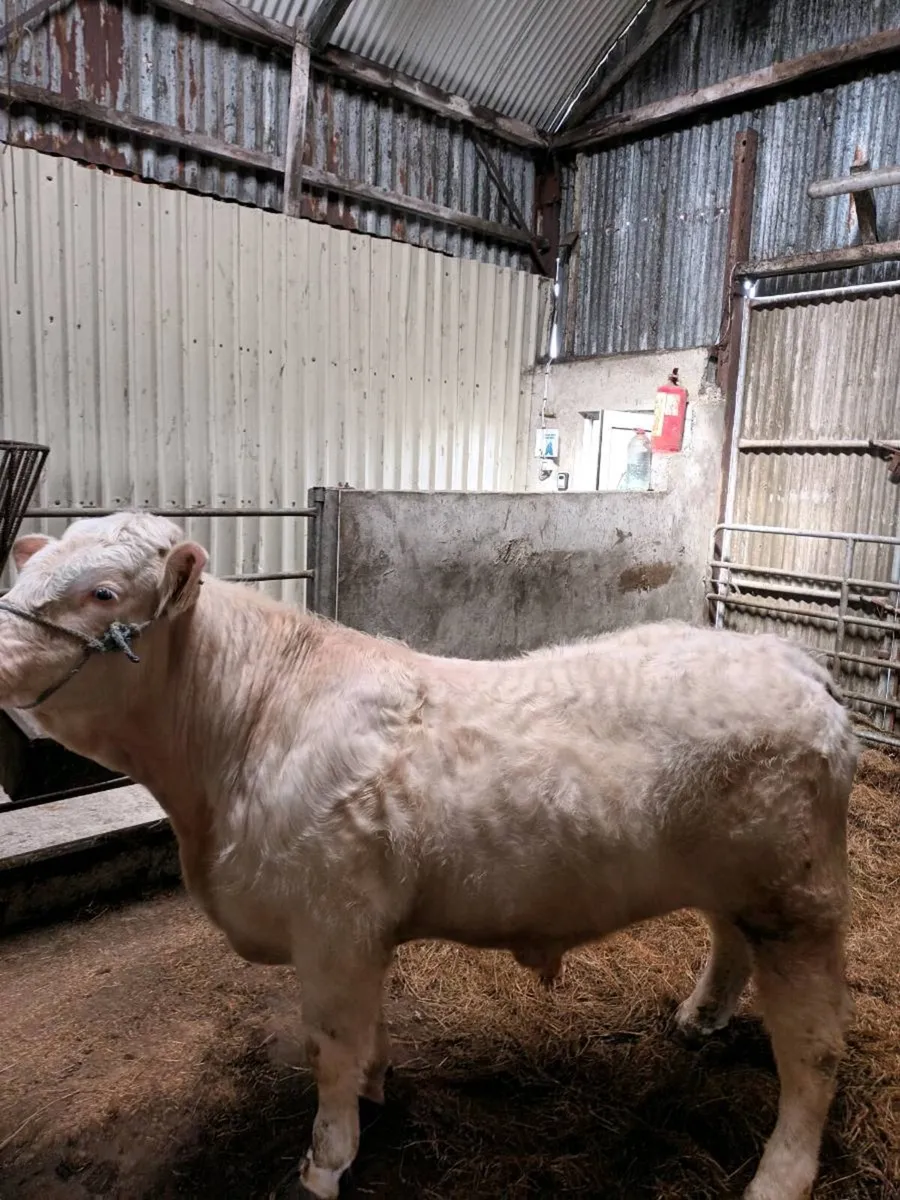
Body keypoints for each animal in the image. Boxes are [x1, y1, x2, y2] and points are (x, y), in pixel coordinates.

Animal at [0, 511, 856, 1200]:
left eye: (104, 593)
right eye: (28, 572)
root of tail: (791, 659)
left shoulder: (331, 926)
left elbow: (332, 1046)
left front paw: (326, 1161)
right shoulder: (360, 933)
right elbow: (366, 1033)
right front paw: (378, 1087)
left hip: (798, 903)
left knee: (815, 1050)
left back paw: (779, 1177)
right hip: (738, 883)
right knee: (728, 940)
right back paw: (699, 1017)